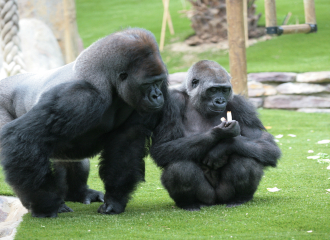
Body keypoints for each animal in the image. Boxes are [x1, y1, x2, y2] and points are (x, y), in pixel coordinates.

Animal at [0, 27, 169, 218]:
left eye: (159, 81)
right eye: (148, 84)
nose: (157, 96)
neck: (108, 79)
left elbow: (127, 143)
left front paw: (115, 200)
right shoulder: (79, 97)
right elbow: (22, 137)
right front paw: (46, 206)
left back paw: (79, 193)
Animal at [150, 61, 282, 211]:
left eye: (224, 90)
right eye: (213, 90)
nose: (220, 101)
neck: (195, 100)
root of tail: (215, 201)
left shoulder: (241, 105)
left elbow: (265, 143)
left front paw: (224, 146)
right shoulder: (171, 102)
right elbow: (163, 147)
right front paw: (220, 133)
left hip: (224, 194)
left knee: (246, 158)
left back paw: (240, 198)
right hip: (206, 196)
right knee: (179, 166)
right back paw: (189, 203)